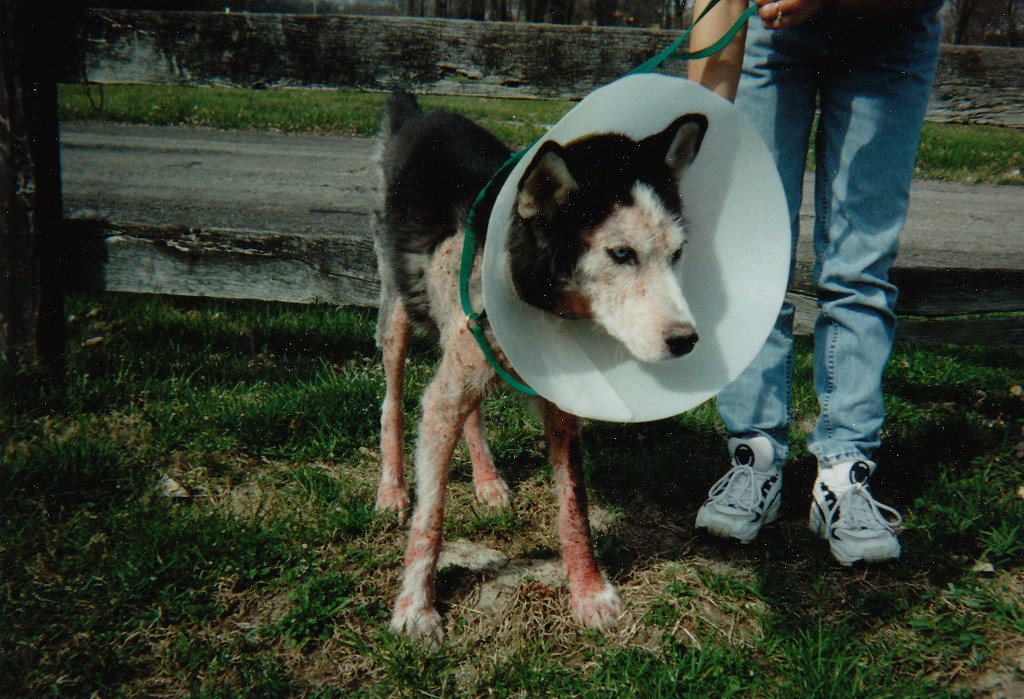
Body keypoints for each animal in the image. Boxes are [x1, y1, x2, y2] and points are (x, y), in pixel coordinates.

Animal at [372, 93, 708, 646]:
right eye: (621, 253)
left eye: (678, 254)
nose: (687, 342)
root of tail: (418, 114)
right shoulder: (444, 396)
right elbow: (431, 514)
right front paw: (415, 608)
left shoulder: (560, 407)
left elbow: (575, 505)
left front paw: (588, 592)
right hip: (400, 306)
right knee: (392, 401)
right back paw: (392, 488)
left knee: (472, 409)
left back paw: (487, 480)